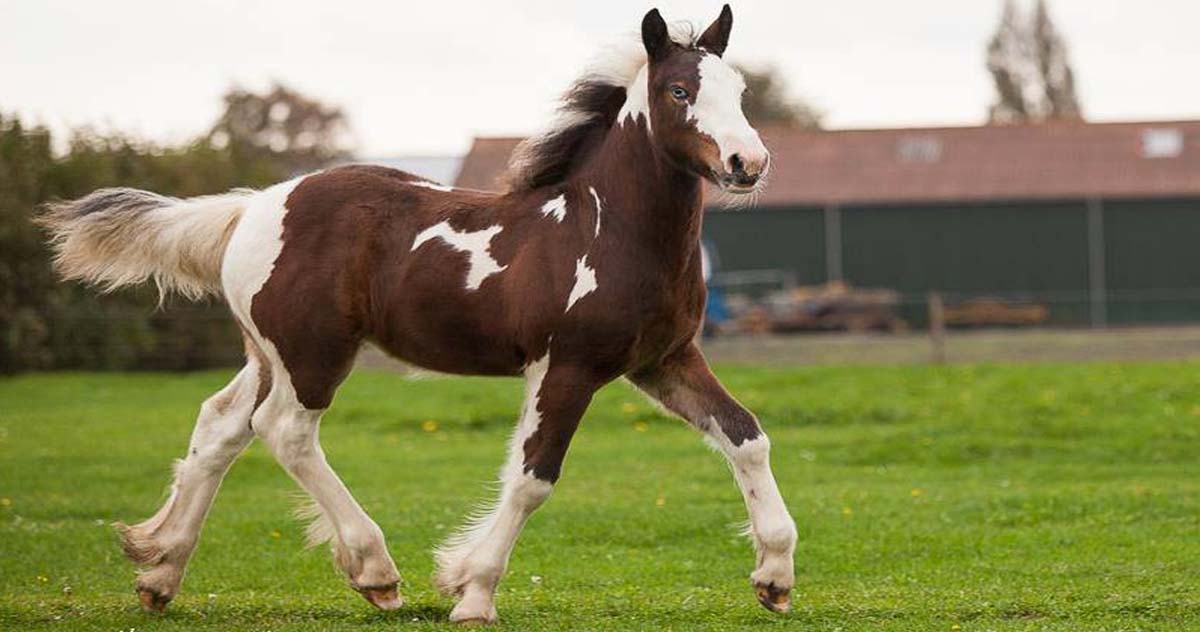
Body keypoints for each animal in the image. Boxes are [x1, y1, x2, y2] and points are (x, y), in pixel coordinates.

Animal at [39, 4, 796, 623]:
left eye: (740, 92)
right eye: (679, 91)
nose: (748, 161)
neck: (607, 228)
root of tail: (252, 207)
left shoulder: (663, 361)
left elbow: (747, 436)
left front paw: (776, 577)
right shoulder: (567, 367)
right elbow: (532, 479)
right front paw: (473, 591)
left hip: (269, 354)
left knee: (221, 425)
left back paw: (159, 572)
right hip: (314, 354)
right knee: (284, 431)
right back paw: (374, 572)